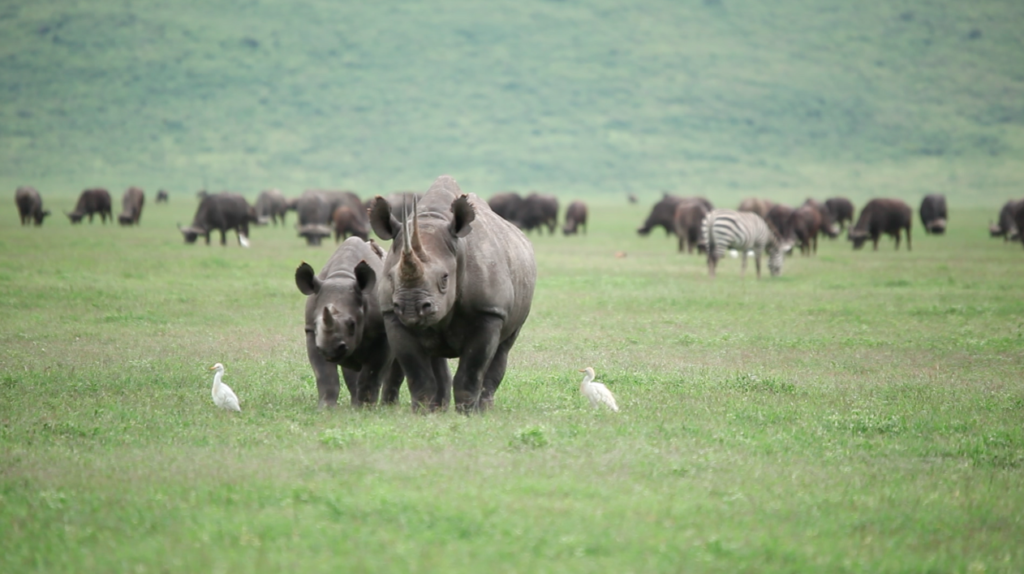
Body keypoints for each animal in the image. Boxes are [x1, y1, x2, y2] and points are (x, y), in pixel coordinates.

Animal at [295, 237, 403, 407]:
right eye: (316, 323)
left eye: (352, 324)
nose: (330, 349)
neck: (342, 276)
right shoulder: (311, 333)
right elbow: (325, 375)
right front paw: (326, 408)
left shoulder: (382, 334)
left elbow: (372, 374)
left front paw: (365, 408)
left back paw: (389, 407)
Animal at [369, 175, 537, 412]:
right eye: (391, 277)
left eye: (445, 278)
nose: (411, 307)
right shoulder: (392, 315)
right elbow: (417, 375)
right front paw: (421, 414)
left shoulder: (489, 312)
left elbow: (471, 372)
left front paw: (467, 414)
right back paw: (438, 410)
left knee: (504, 347)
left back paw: (485, 409)